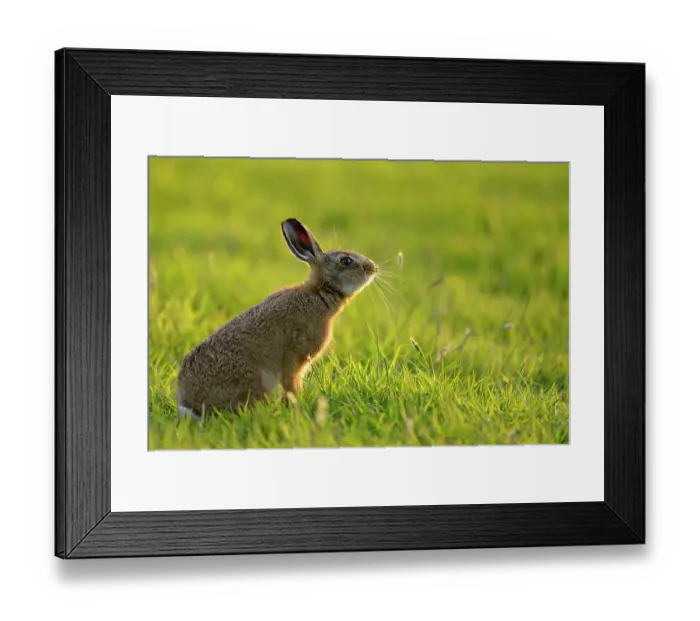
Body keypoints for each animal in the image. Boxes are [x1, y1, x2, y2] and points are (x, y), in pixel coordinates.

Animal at [177, 218, 379, 418]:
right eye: (346, 260)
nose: (374, 268)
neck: (320, 292)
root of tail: (188, 402)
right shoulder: (295, 355)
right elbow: (291, 382)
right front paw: (293, 404)